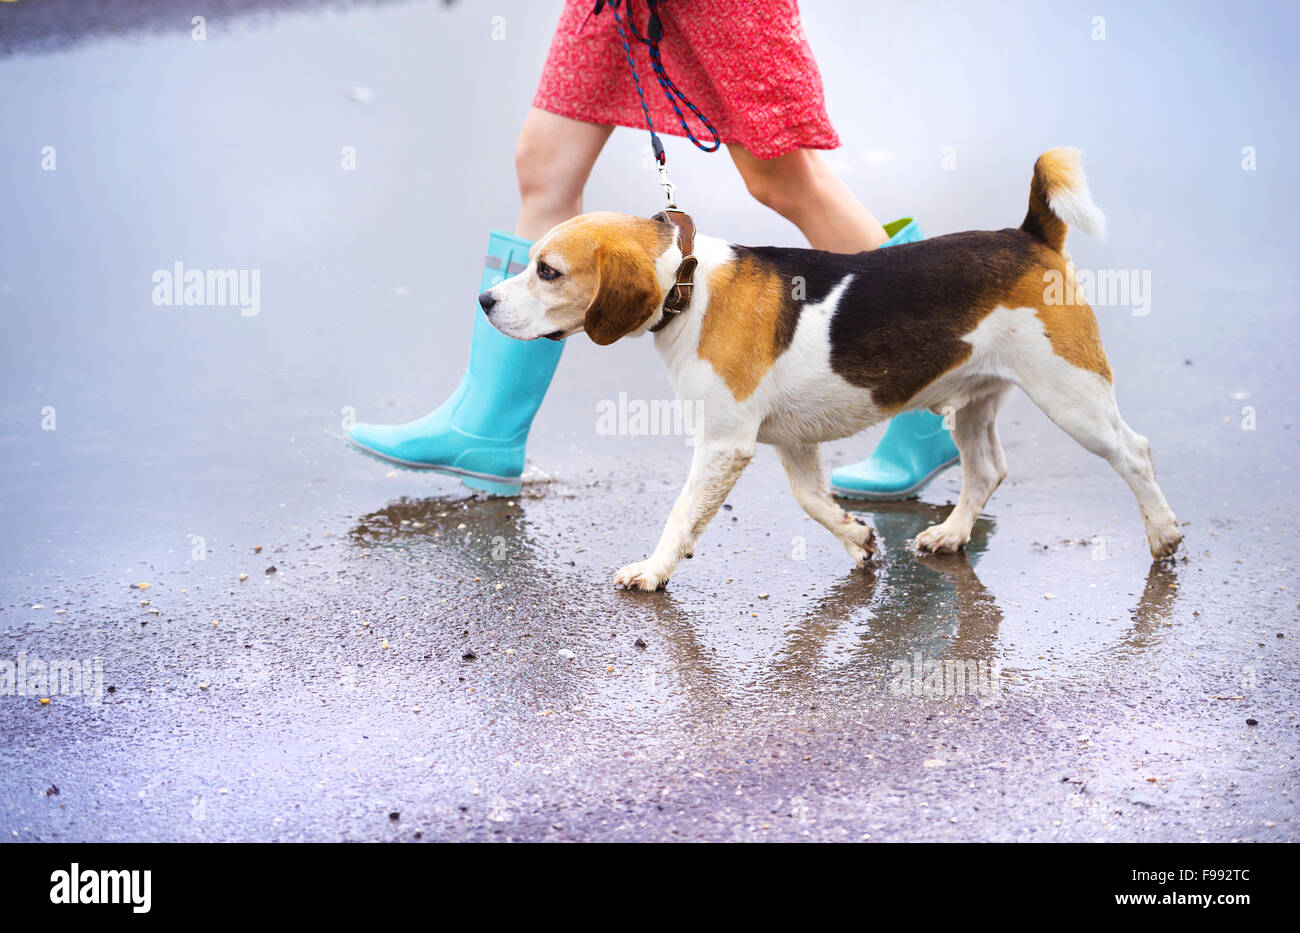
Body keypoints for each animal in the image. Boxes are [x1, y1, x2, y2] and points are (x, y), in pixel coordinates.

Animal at [483, 150, 1185, 595]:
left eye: (547, 271)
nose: (485, 301)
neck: (686, 281)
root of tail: (1029, 235)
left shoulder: (724, 444)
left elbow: (682, 515)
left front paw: (653, 572)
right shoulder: (792, 441)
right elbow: (812, 501)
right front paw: (857, 539)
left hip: (1072, 394)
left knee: (1136, 452)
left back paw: (1163, 535)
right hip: (973, 399)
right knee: (987, 469)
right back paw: (952, 534)